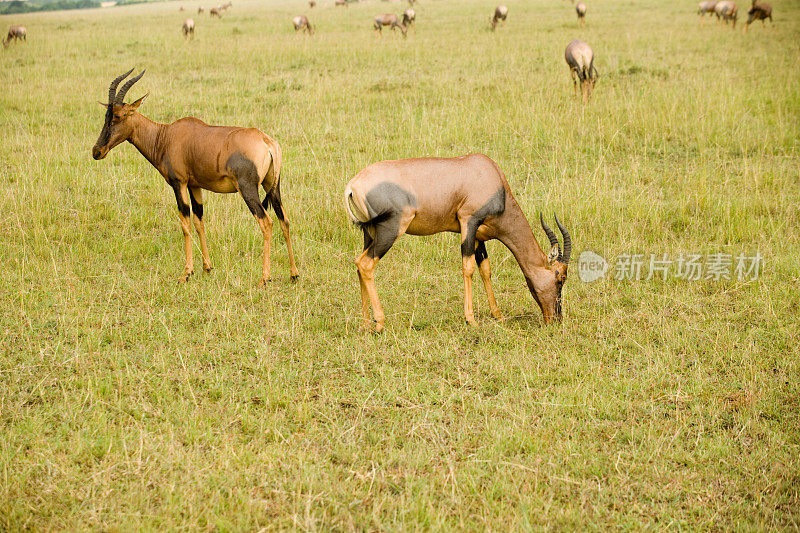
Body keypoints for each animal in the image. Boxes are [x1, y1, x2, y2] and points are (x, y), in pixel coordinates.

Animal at [90, 71, 302, 286]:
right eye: (106, 115)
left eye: (119, 116)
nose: (97, 151)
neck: (166, 135)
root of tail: (267, 142)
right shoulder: (195, 186)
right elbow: (199, 221)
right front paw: (207, 267)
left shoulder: (179, 183)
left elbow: (185, 223)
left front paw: (186, 273)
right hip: (272, 187)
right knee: (284, 221)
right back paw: (294, 273)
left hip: (248, 188)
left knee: (266, 222)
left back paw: (264, 278)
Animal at [346, 153, 572, 332]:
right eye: (560, 277)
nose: (556, 319)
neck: (490, 176)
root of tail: (353, 185)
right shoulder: (468, 222)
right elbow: (468, 268)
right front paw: (471, 320)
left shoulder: (479, 236)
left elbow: (485, 270)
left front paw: (498, 315)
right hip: (390, 230)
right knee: (365, 264)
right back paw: (379, 323)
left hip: (369, 234)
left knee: (358, 264)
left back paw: (366, 324)